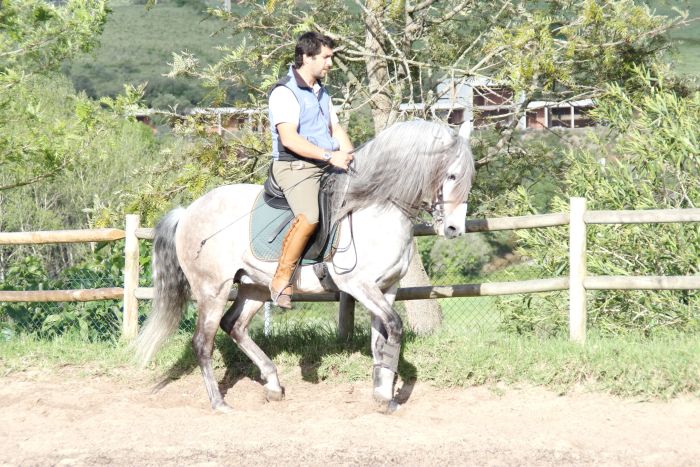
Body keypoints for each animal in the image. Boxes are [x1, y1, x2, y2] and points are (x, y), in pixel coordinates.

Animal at [135, 120, 476, 414]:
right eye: (451, 176)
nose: (455, 229)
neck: (376, 208)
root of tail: (188, 211)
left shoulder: (386, 289)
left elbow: (381, 339)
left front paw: (383, 395)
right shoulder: (359, 285)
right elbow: (394, 326)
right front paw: (386, 393)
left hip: (255, 285)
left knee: (235, 325)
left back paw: (273, 384)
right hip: (212, 289)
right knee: (203, 342)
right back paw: (219, 403)